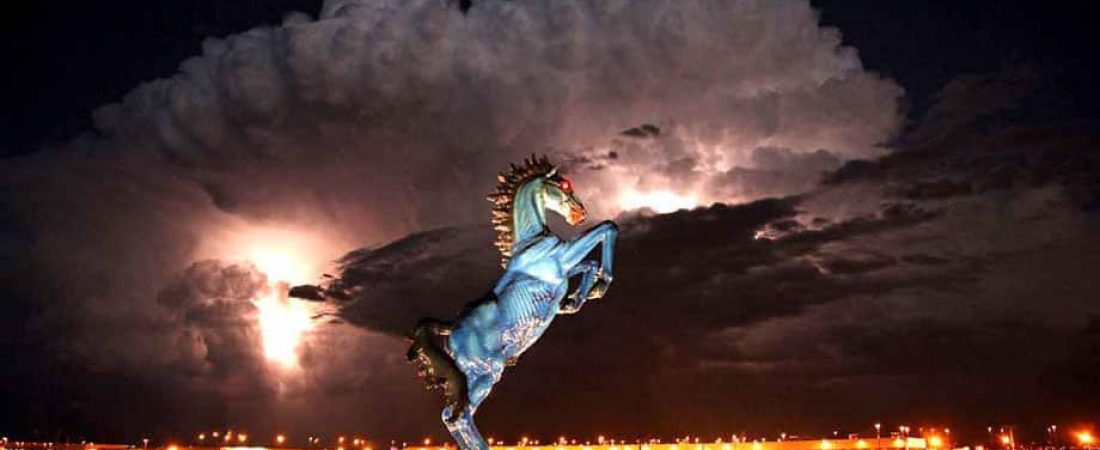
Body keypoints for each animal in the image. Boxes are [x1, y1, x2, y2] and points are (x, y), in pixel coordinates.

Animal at [413, 154, 620, 448]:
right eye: (565, 184)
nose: (580, 213)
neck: (531, 242)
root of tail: (450, 329)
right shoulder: (562, 258)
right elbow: (607, 229)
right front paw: (600, 285)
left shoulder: (563, 269)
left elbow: (589, 263)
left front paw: (576, 300)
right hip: (486, 372)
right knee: (459, 416)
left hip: (471, 375)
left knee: (450, 415)